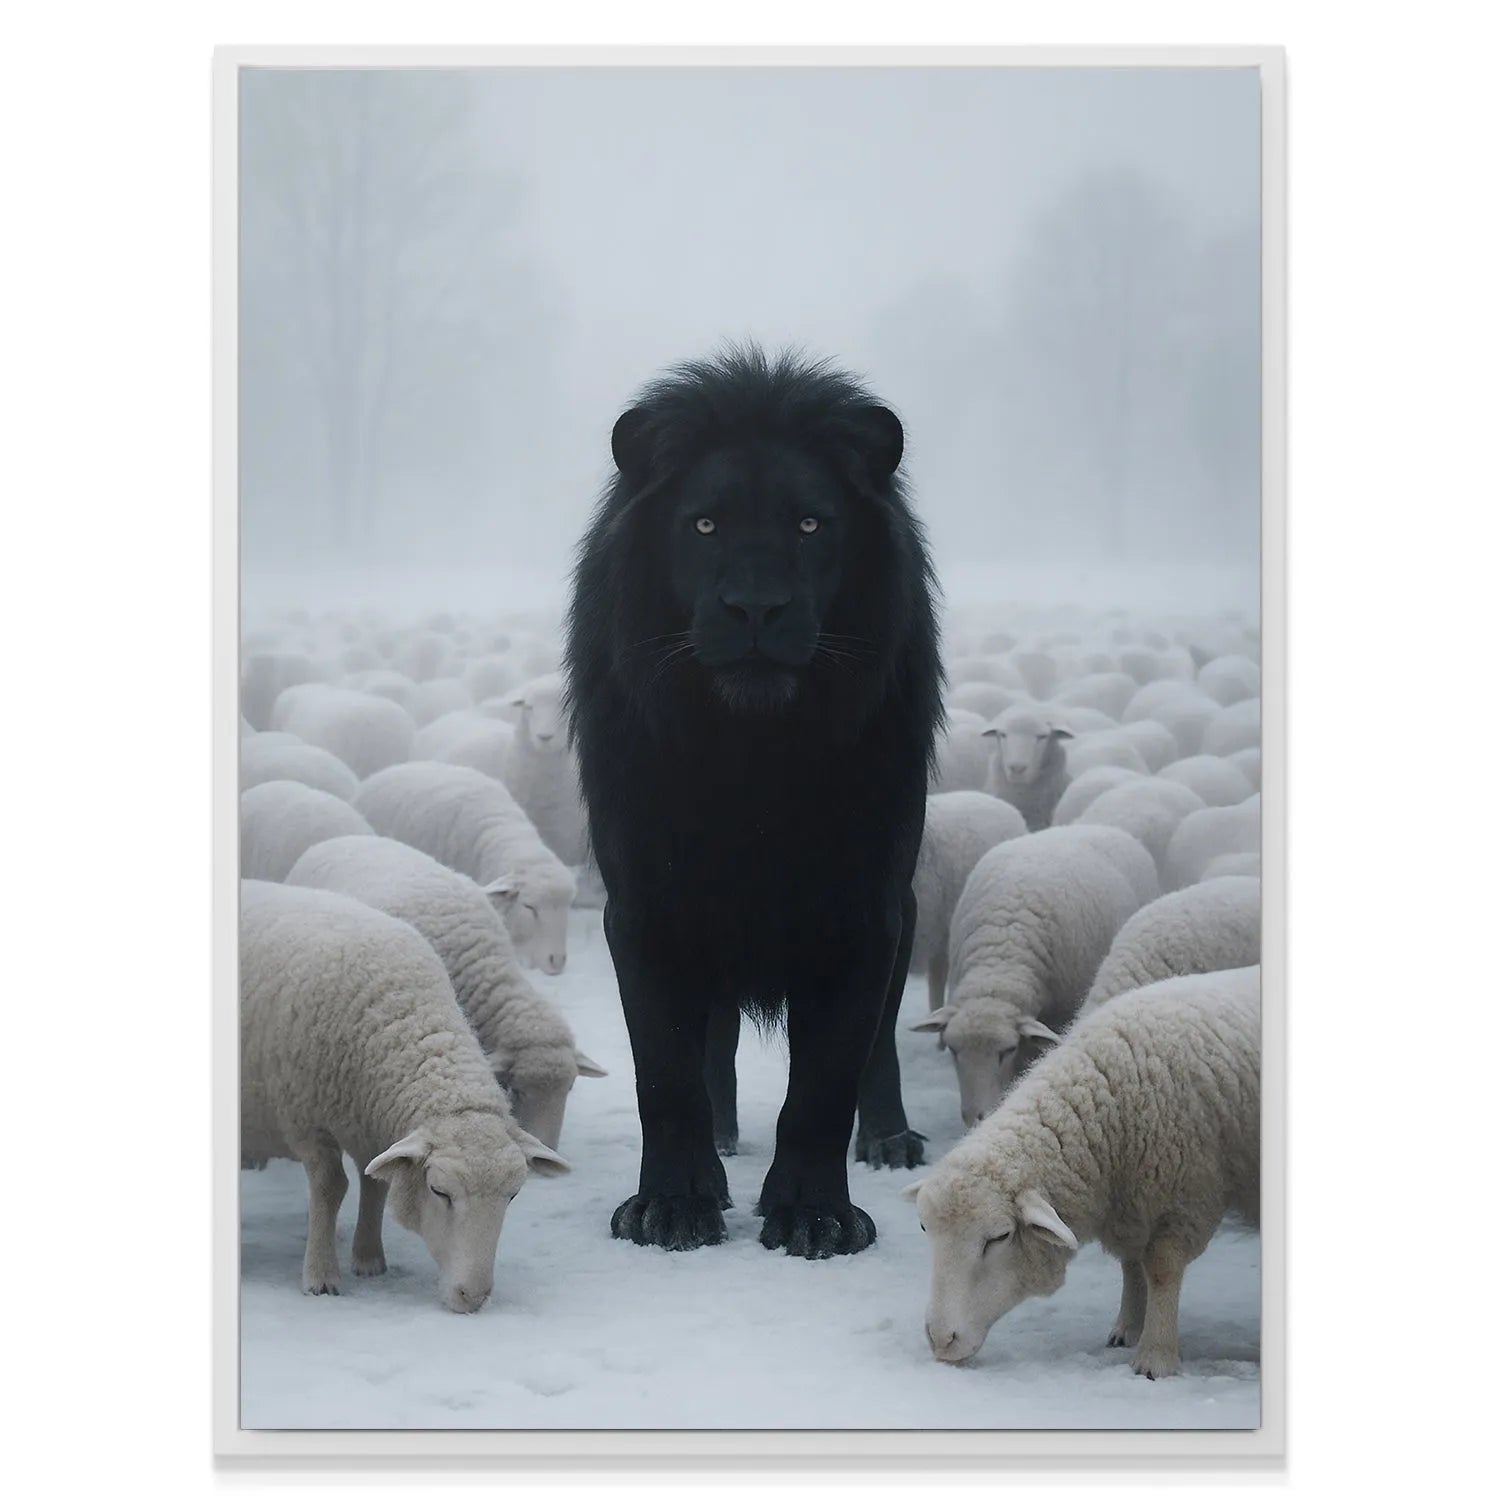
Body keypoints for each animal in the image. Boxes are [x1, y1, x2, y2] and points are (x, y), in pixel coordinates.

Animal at [239, 880, 569, 1310]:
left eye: (512, 1196)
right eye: (439, 1191)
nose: (472, 1297)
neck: (399, 1014)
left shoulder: (370, 1124)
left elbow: (376, 1181)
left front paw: (368, 1257)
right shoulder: (304, 1119)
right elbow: (330, 1187)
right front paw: (321, 1276)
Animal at [906, 965, 1259, 1377]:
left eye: (1000, 1237)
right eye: (924, 1229)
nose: (941, 1341)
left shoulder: (1187, 1194)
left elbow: (1161, 1267)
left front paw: (1155, 1357)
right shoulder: (1130, 1200)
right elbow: (1131, 1263)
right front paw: (1128, 1327)